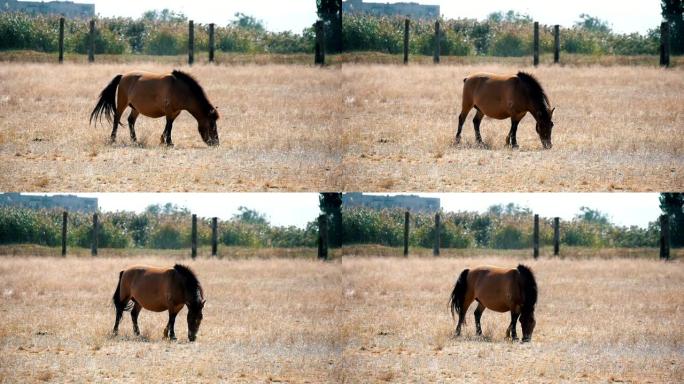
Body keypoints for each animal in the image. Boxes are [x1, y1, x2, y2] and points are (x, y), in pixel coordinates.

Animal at [90, 70, 219, 146]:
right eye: (212, 124)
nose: (216, 143)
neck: (179, 89)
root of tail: (122, 76)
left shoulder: (175, 112)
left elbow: (169, 125)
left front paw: (163, 140)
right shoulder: (169, 111)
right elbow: (169, 125)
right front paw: (168, 142)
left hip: (136, 108)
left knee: (130, 121)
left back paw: (134, 140)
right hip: (122, 103)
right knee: (117, 119)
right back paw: (113, 139)